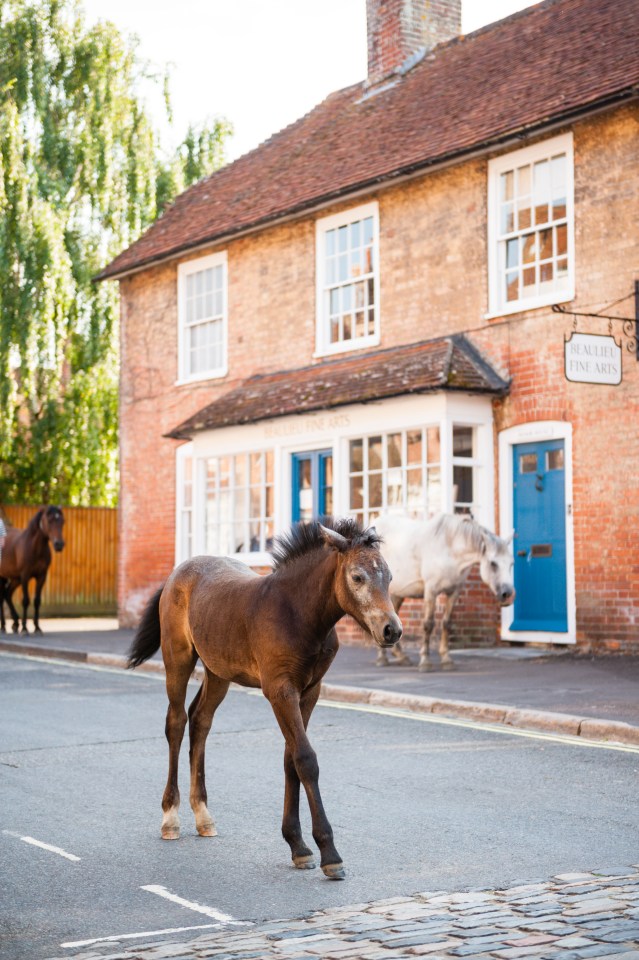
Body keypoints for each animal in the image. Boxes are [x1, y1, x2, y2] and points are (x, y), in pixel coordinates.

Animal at [127, 520, 402, 880]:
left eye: (389, 576)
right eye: (357, 576)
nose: (392, 630)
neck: (299, 613)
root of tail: (178, 571)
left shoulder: (309, 691)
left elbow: (290, 760)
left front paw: (298, 846)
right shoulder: (279, 690)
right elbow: (306, 759)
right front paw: (329, 854)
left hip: (219, 671)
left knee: (200, 721)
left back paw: (203, 816)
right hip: (178, 660)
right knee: (176, 723)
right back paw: (170, 818)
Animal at [376, 512, 516, 672]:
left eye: (512, 563)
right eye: (493, 563)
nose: (508, 595)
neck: (449, 549)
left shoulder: (454, 592)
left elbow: (446, 624)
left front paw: (446, 659)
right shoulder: (431, 591)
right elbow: (428, 625)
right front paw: (425, 661)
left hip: (397, 594)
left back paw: (401, 656)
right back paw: (382, 658)